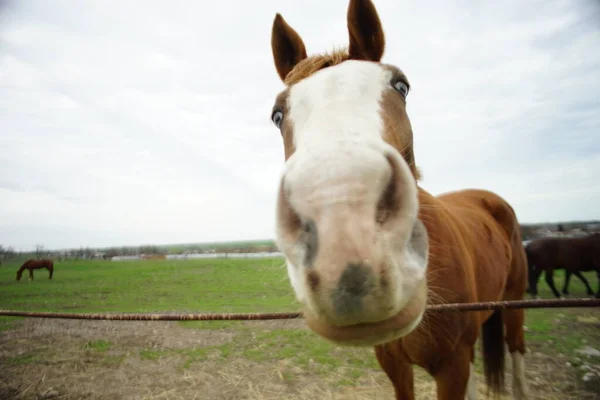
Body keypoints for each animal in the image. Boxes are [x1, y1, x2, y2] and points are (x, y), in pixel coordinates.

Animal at [268, 1, 528, 398]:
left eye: (401, 85)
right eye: (277, 114)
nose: (345, 244)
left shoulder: (452, 366)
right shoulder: (393, 363)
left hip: (514, 306)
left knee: (516, 357)